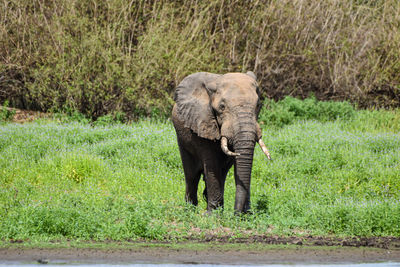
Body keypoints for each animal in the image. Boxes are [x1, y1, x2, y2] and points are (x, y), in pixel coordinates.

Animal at [172, 72, 272, 215]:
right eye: (222, 107)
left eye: (258, 105)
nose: (237, 214)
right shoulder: (203, 121)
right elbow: (211, 164)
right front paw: (212, 216)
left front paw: (246, 215)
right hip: (182, 138)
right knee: (192, 174)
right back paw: (190, 210)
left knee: (222, 173)